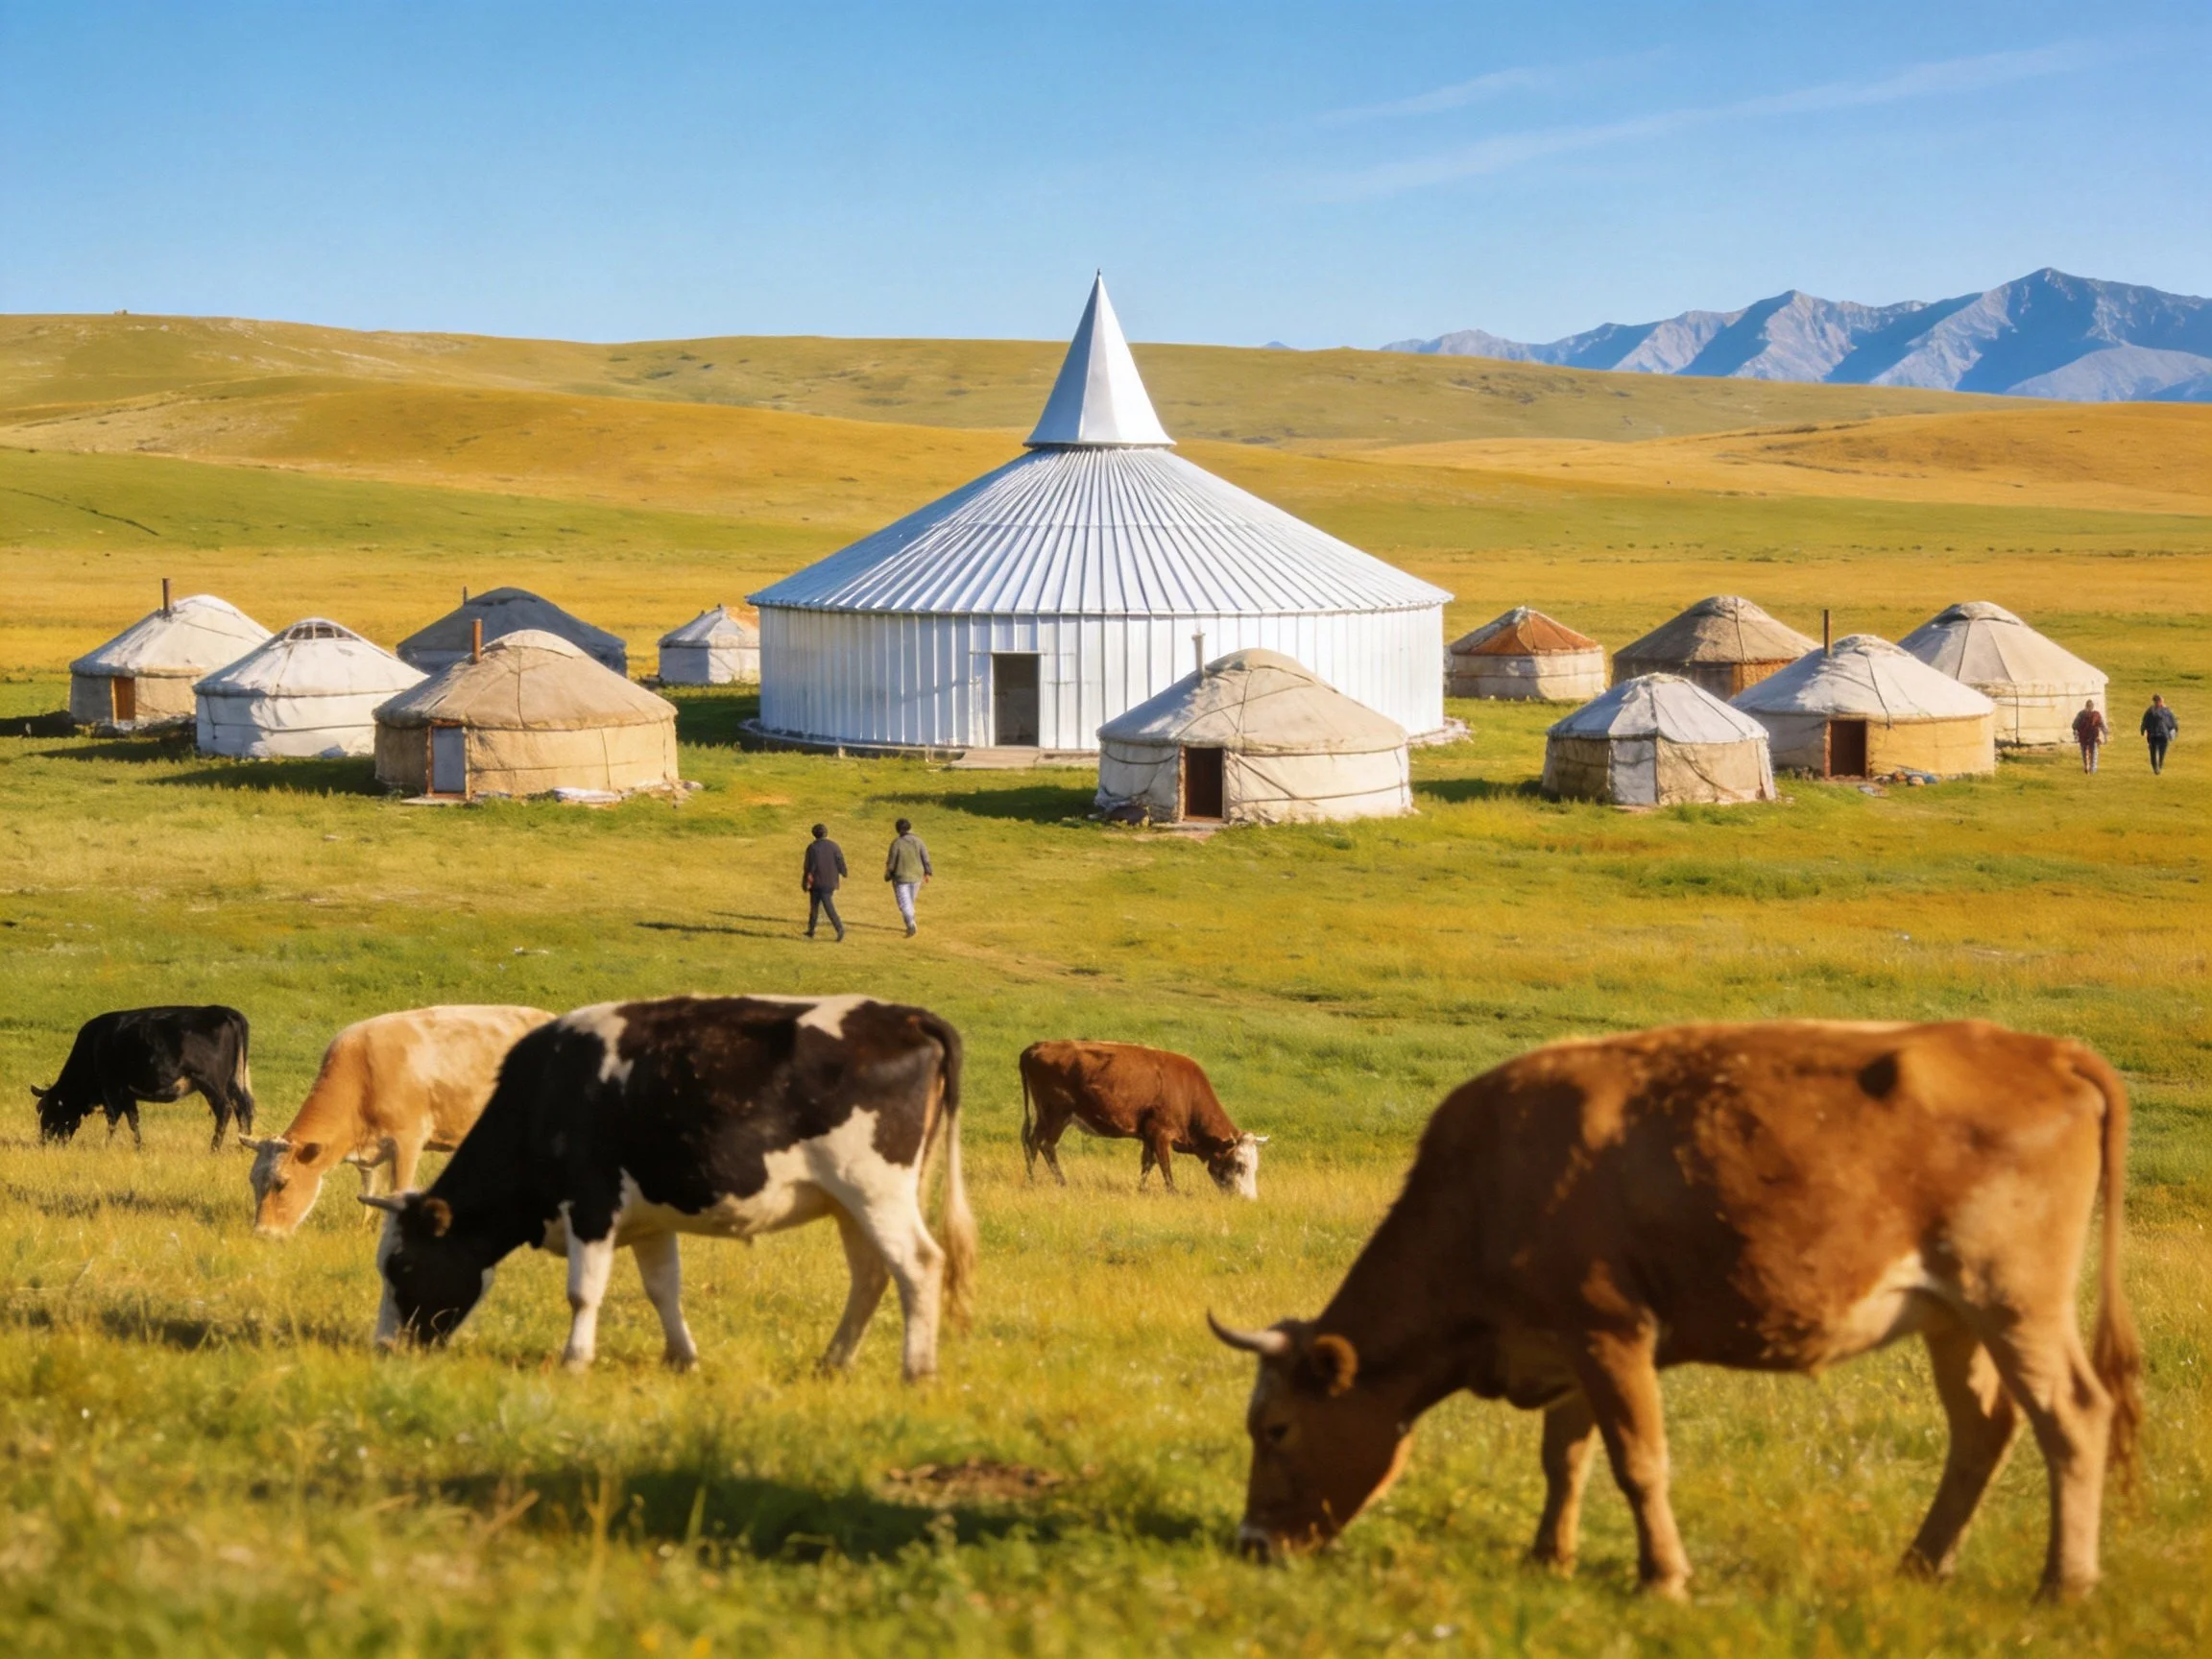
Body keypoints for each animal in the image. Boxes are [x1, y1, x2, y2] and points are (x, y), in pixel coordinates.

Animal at [30, 1006, 256, 1149]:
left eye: (48, 1110)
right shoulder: (127, 1094)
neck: (93, 1047)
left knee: (225, 1110)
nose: (43, 1142)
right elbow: (133, 1121)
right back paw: (243, 1146)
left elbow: (113, 1120)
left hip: (211, 1082)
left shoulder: (112, 1089)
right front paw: (139, 1146)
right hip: (235, 1081)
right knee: (244, 1109)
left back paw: (214, 1148)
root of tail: (226, 1012)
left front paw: (106, 1145)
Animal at [240, 1004, 553, 1238]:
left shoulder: (408, 1140)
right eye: (253, 1180)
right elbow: (368, 1191)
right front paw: (363, 1228)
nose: (262, 1233)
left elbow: (397, 1190)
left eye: (282, 1183)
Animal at [364, 994, 975, 1382]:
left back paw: (917, 1370)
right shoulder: (648, 1221)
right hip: (851, 1204)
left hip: (875, 1191)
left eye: (403, 1265)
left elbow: (583, 1291)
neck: (545, 1097)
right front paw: (683, 1358)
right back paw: (833, 1362)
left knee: (920, 1265)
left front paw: (575, 1360)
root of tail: (908, 1017)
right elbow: (664, 1289)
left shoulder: (591, 1205)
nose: (384, 1346)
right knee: (871, 1274)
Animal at [1019, 1040, 1267, 1198]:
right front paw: (1173, 1192)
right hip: (1054, 1114)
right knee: (1041, 1144)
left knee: (1036, 1143)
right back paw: (1041, 1181)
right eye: (1240, 1164)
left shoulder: (1148, 1135)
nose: (1249, 1199)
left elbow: (1148, 1163)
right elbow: (1164, 1165)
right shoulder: (1160, 1133)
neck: (1187, 1093)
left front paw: (1141, 1189)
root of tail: (1037, 1046)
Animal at [1210, 1020, 2142, 1602]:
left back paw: (2064, 1585)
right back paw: (1920, 1565)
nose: (1250, 1543)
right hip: (1953, 1320)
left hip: (2012, 1299)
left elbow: (1637, 1462)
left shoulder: (1610, 1333)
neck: (1488, 1184)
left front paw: (1662, 1577)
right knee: (1983, 1428)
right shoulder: (1570, 1345)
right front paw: (1548, 1557)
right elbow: (1566, 1457)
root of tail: (2046, 1052)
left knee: (2072, 1416)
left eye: (1278, 1429)